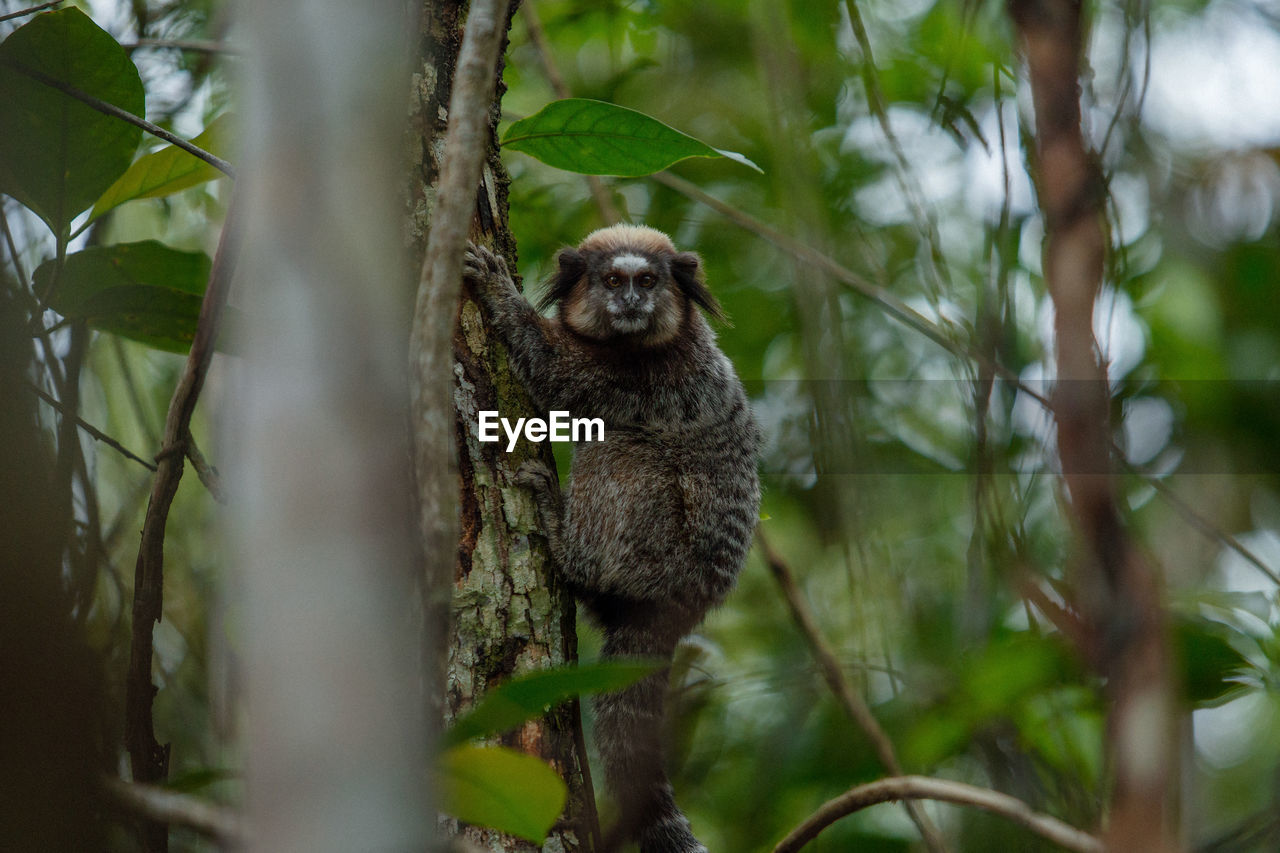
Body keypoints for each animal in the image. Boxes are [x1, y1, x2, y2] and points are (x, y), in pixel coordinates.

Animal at [463, 224, 752, 850]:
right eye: (613, 281)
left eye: (648, 281)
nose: (633, 302)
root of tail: (679, 606)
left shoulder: (645, 379)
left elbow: (553, 372)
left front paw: (499, 293)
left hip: (654, 546)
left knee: (620, 444)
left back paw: (561, 533)